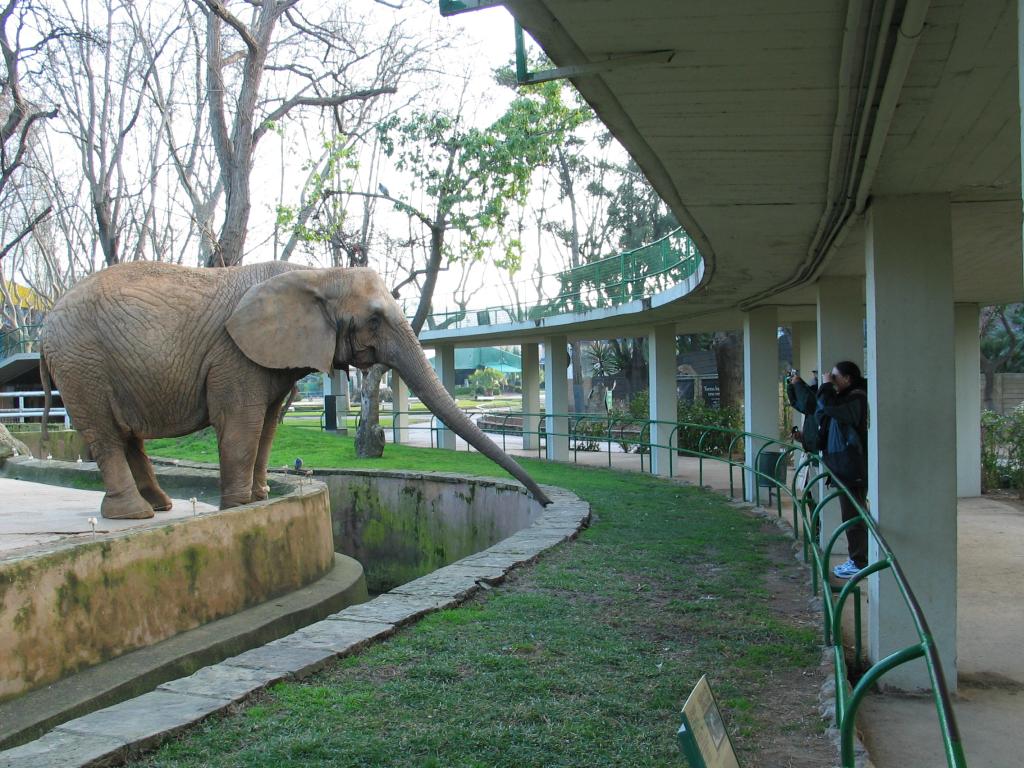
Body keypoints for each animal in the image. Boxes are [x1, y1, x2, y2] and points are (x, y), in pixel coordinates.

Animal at [37, 262, 552, 520]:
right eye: (374, 318)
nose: (545, 502)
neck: (314, 271)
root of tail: (44, 327)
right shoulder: (233, 354)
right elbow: (241, 423)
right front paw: (238, 509)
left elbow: (266, 423)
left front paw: (261, 498)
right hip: (82, 365)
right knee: (105, 435)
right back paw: (135, 516)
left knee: (126, 436)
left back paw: (159, 506)